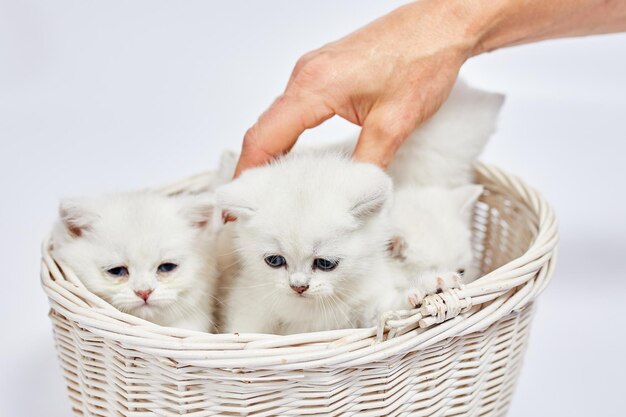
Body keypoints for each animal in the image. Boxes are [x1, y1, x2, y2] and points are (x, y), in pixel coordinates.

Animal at [217, 154, 408, 334]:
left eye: (325, 263)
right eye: (275, 261)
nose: (298, 287)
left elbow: (383, 312)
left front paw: (412, 298)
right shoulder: (249, 299)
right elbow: (245, 329)